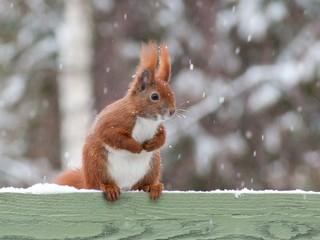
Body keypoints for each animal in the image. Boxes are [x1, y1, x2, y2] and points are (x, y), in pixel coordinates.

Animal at [55, 41, 175, 201]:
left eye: (171, 92)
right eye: (154, 96)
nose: (172, 111)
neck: (145, 119)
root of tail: (124, 185)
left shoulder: (158, 126)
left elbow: (163, 136)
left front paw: (153, 143)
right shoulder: (116, 120)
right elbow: (112, 136)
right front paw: (136, 147)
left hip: (152, 166)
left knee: (140, 185)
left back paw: (152, 187)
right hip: (97, 164)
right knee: (98, 183)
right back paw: (109, 187)